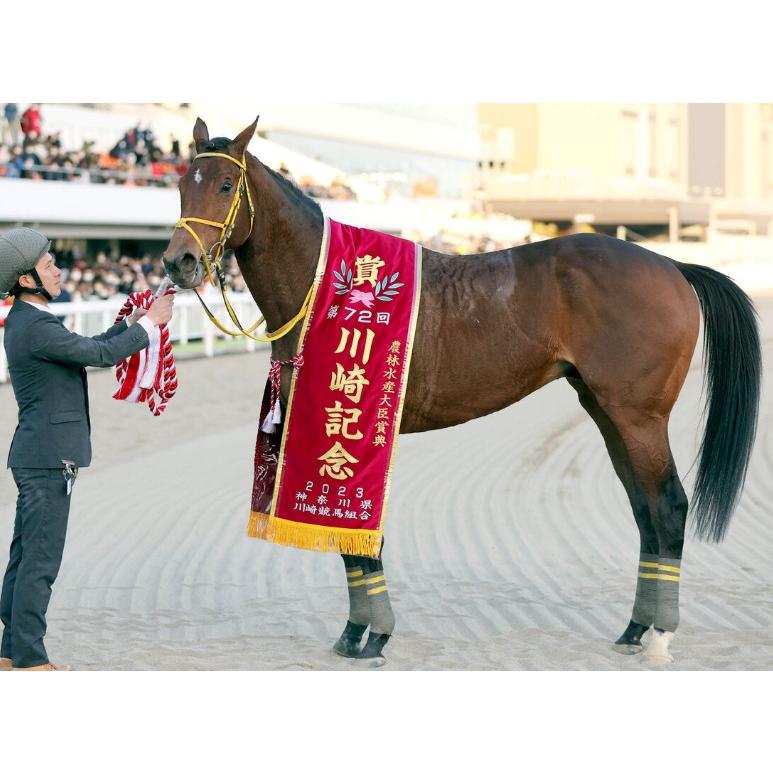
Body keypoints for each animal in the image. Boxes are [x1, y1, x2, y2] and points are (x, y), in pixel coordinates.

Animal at [163, 116, 761, 667]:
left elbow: (360, 537)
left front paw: (371, 635)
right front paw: (356, 634)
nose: (177, 262)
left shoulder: (352, 431)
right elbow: (353, 541)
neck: (330, 288)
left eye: (224, 185)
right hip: (606, 411)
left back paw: (660, 636)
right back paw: (635, 628)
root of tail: (672, 264)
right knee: (645, 511)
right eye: (182, 183)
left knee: (669, 508)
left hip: (639, 417)